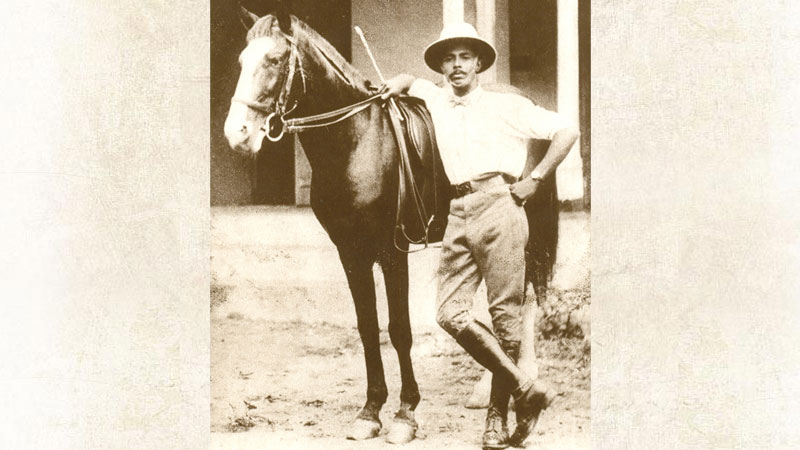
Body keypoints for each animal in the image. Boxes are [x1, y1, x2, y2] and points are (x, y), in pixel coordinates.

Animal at [222, 9, 559, 444]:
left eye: (276, 60)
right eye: (241, 61)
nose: (238, 134)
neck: (357, 141)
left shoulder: (391, 250)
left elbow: (399, 329)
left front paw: (405, 414)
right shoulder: (350, 252)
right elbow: (368, 328)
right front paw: (369, 412)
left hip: (529, 233)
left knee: (524, 303)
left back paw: (522, 385)